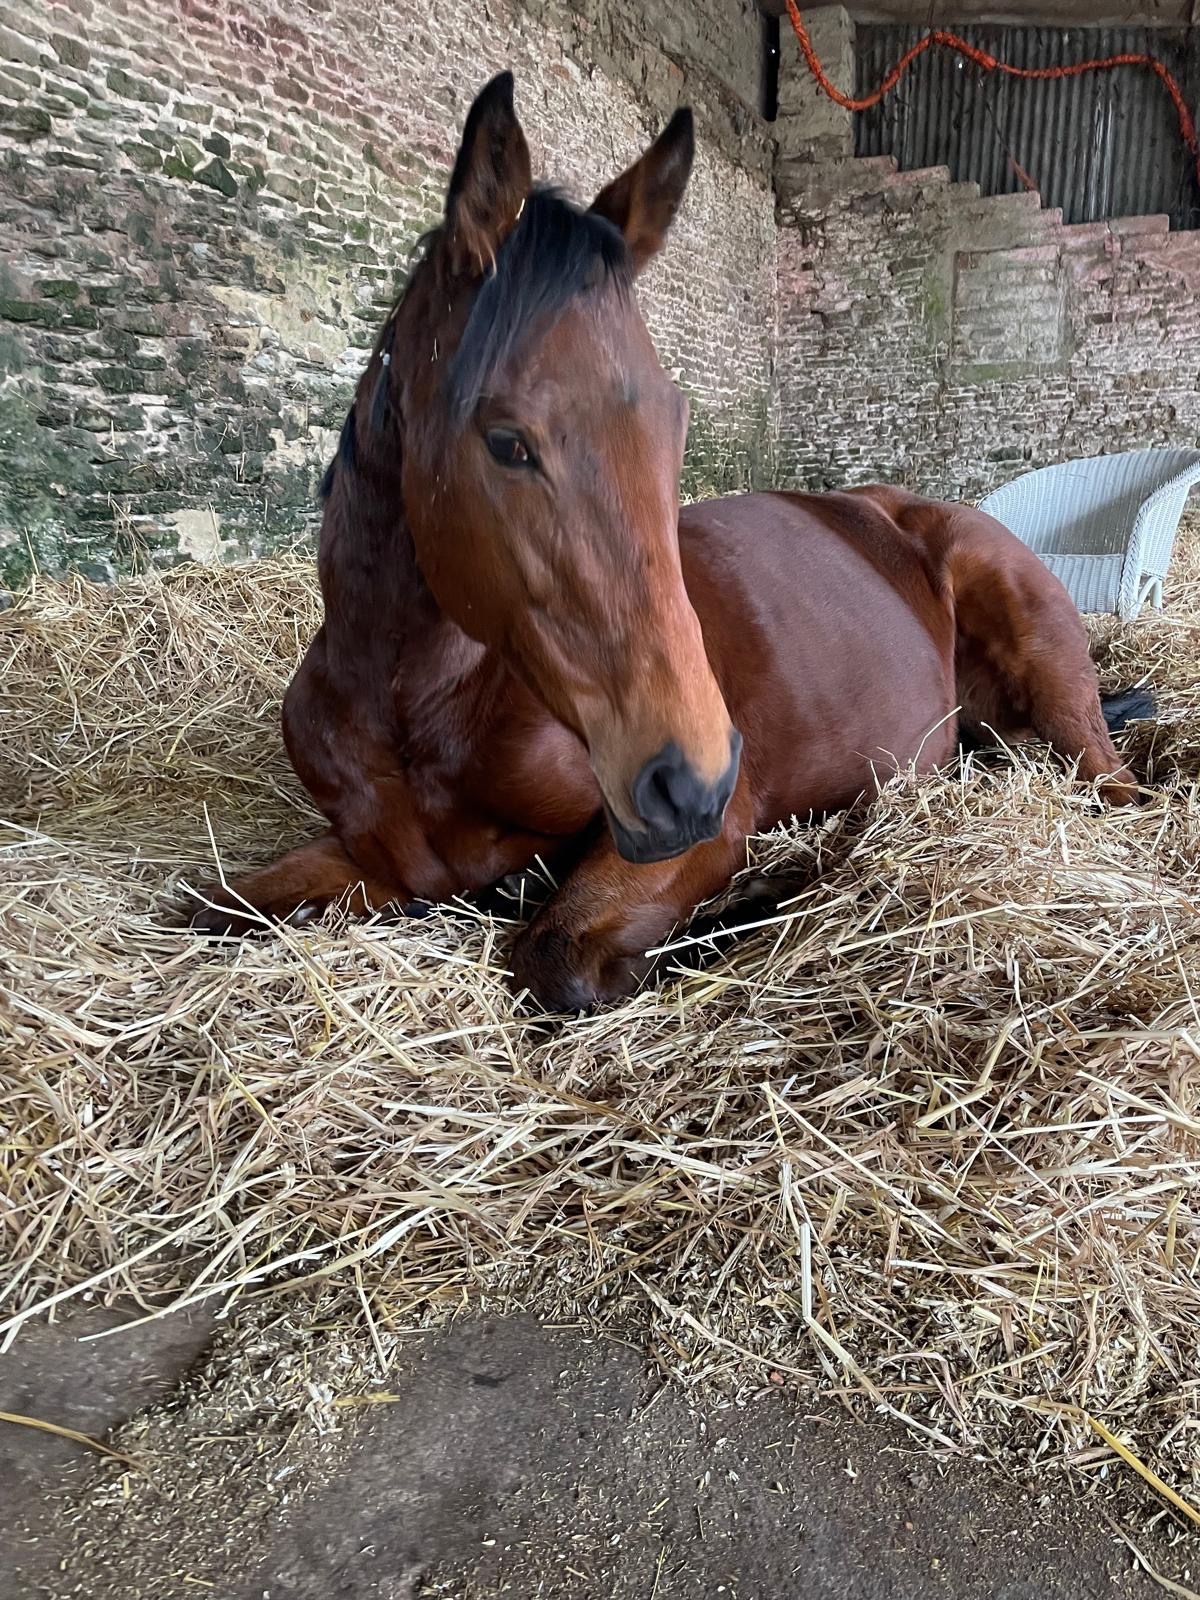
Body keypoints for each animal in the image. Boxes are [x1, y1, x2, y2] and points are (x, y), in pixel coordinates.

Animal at [191, 71, 1146, 1012]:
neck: (416, 704)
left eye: (675, 423)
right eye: (506, 442)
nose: (692, 783)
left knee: (1114, 784)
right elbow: (209, 904)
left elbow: (558, 955)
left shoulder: (685, 837)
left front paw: (751, 900)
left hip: (1053, 685)